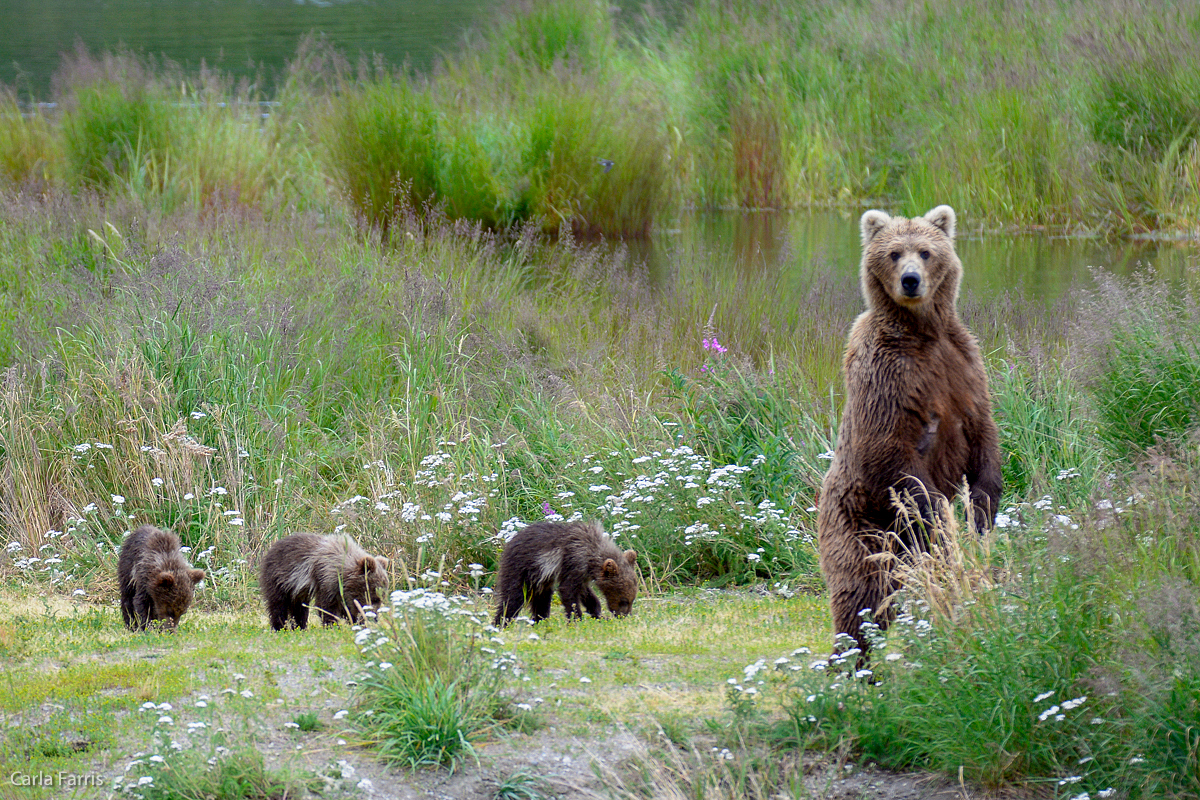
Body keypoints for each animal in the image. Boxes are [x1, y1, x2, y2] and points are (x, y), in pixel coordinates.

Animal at [260, 532, 391, 633]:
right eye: (373, 597)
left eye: (381, 598)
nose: (374, 618)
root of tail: (272, 548)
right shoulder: (326, 580)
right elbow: (327, 606)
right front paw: (332, 625)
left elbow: (346, 608)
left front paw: (354, 622)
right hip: (278, 578)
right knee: (278, 604)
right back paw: (280, 627)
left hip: (296, 590)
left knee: (299, 607)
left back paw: (300, 627)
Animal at [489, 522, 638, 628]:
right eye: (623, 600)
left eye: (632, 599)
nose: (624, 616)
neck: (591, 554)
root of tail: (508, 543)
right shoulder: (572, 562)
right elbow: (568, 592)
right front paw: (576, 620)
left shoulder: (582, 574)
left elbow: (586, 594)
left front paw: (598, 614)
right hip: (520, 569)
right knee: (513, 598)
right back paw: (500, 623)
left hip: (540, 579)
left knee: (542, 599)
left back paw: (540, 621)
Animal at [816, 206, 1003, 657]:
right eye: (894, 253)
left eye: (926, 251)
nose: (911, 280)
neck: (921, 332)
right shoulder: (886, 376)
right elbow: (892, 452)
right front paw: (938, 511)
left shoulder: (963, 368)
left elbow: (983, 434)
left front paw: (982, 507)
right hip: (862, 526)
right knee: (862, 597)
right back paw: (850, 660)